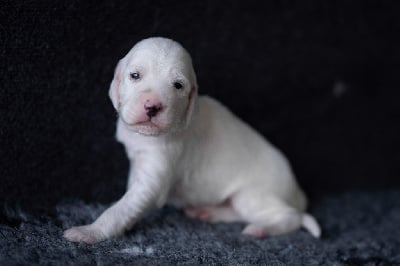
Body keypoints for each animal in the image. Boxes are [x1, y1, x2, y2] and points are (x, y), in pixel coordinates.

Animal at [64, 37, 320, 243]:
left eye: (178, 85)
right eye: (135, 75)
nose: (152, 106)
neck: (147, 137)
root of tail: (298, 193)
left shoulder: (155, 173)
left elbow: (122, 207)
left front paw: (90, 231)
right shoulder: (137, 160)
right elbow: (129, 194)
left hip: (253, 195)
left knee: (291, 217)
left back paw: (261, 229)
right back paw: (208, 212)